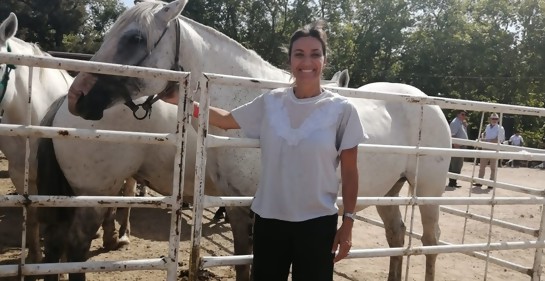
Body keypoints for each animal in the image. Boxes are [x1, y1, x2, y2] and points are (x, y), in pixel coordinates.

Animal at [37, 1, 446, 278]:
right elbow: (244, 262)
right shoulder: (238, 208)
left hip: (427, 193)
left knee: (429, 242)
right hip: (391, 192)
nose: (77, 97)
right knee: (397, 237)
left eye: (135, 38)